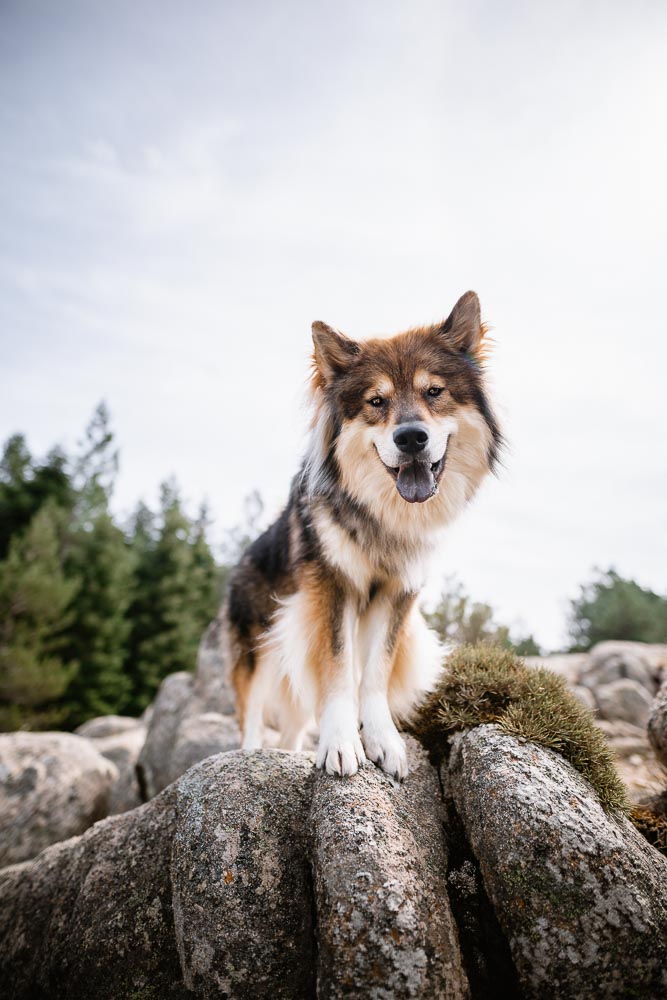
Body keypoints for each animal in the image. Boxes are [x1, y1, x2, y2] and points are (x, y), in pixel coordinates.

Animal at [224, 292, 500, 780]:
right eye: (376, 400)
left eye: (434, 392)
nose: (411, 438)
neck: (384, 518)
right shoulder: (332, 588)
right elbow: (337, 669)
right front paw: (339, 743)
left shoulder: (397, 594)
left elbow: (374, 673)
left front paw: (381, 739)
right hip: (259, 651)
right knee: (252, 718)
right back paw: (250, 756)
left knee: (292, 725)